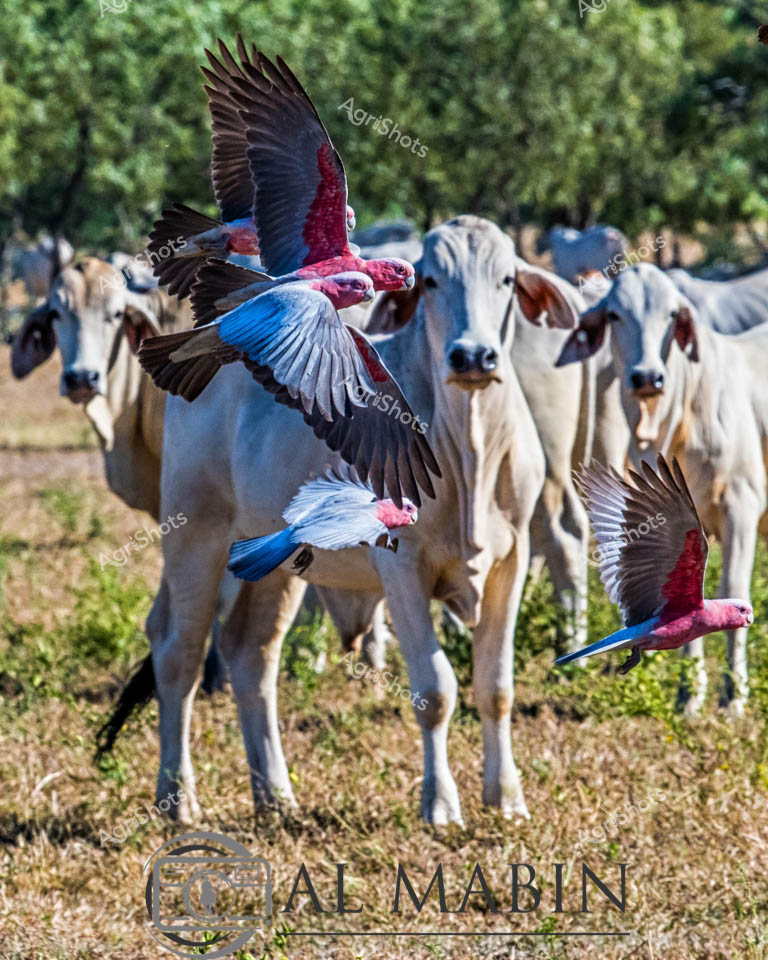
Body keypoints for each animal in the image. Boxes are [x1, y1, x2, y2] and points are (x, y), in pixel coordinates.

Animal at [146, 215, 579, 825]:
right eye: (432, 281)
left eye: (508, 280)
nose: (474, 357)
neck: (470, 447)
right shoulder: (403, 567)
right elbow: (435, 689)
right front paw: (440, 804)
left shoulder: (510, 562)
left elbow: (496, 687)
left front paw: (507, 797)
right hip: (194, 535)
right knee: (178, 653)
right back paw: (178, 797)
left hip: (272, 559)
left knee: (251, 655)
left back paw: (276, 794)